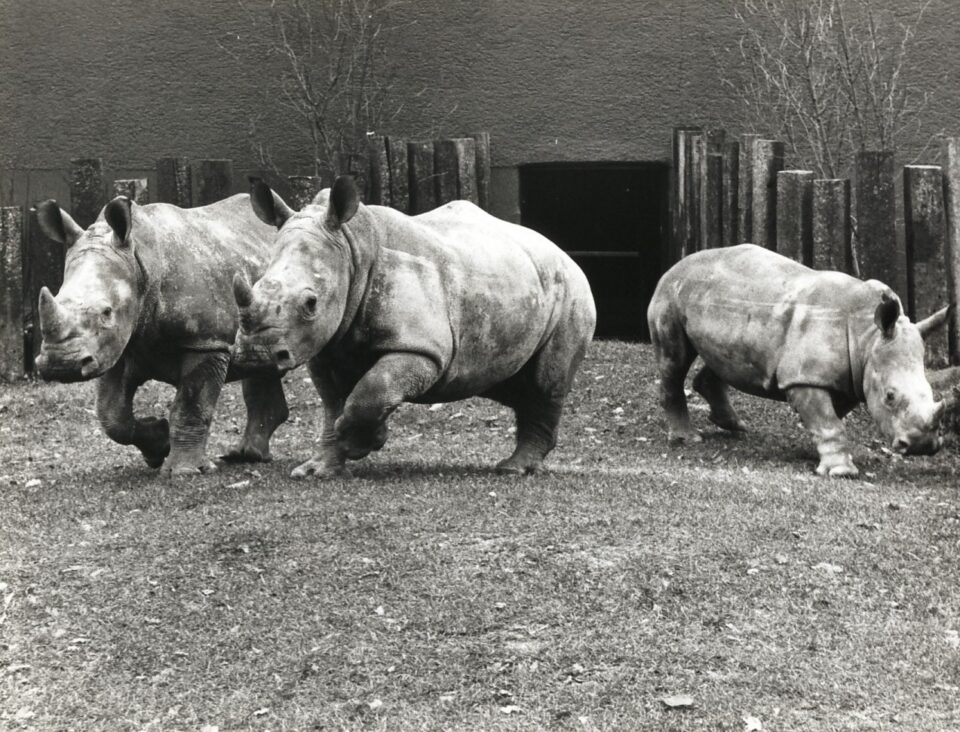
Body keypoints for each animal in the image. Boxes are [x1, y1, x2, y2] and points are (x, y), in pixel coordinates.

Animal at [33, 195, 289, 476]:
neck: (139, 263)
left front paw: (183, 471)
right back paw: (246, 456)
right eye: (56, 298)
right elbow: (111, 415)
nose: (61, 364)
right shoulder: (118, 347)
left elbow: (190, 406)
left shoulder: (206, 342)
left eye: (107, 312)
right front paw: (159, 445)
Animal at [231, 176, 596, 477]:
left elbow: (370, 391)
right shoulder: (325, 346)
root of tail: (562, 251)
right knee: (511, 381)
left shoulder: (421, 348)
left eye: (311, 303)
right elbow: (334, 404)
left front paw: (361, 442)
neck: (351, 251)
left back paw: (512, 470)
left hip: (572, 290)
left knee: (545, 383)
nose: (254, 357)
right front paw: (317, 470)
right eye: (256, 285)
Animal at [647, 244, 949, 477]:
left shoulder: (848, 378)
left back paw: (735, 426)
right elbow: (828, 422)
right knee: (674, 361)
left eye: (931, 393)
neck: (867, 336)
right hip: (670, 295)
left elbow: (829, 419)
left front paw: (816, 455)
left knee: (722, 359)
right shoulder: (804, 378)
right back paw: (688, 439)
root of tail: (678, 263)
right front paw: (841, 472)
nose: (921, 445)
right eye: (890, 396)